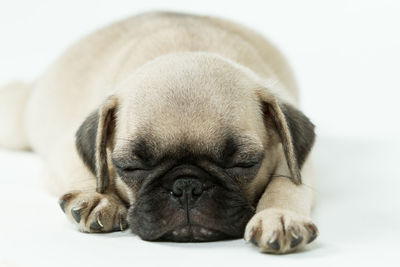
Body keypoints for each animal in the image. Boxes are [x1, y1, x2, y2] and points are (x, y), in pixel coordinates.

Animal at [0, 11, 318, 254]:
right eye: (130, 167)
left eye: (244, 164)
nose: (186, 187)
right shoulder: (65, 149)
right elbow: (90, 169)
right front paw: (100, 197)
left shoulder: (297, 160)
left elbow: (287, 183)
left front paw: (279, 215)